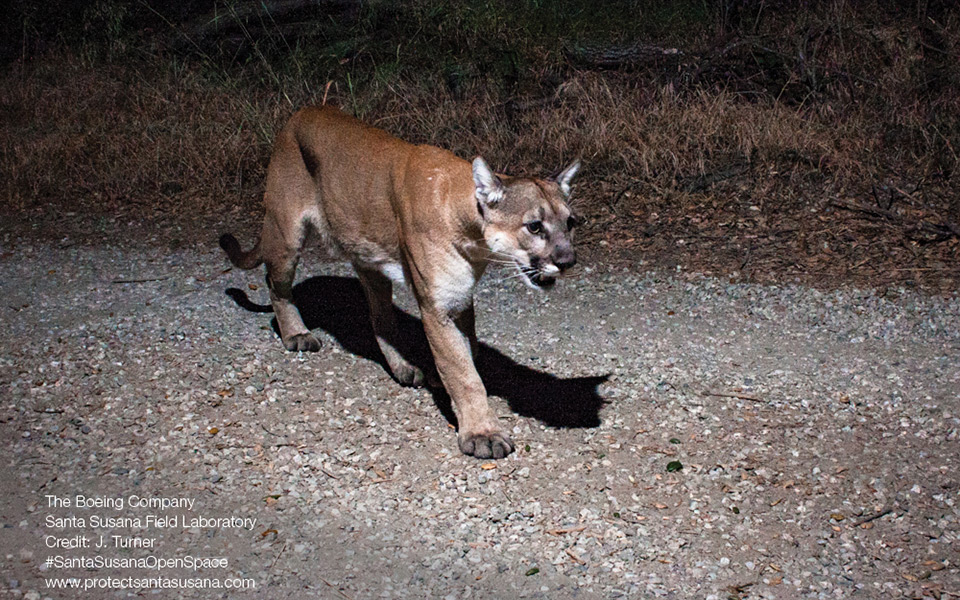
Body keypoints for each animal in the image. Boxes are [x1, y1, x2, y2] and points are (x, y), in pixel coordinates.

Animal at [219, 105, 576, 458]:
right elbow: (463, 372)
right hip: (286, 234)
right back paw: (296, 334)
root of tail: (297, 115)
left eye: (571, 222)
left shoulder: (460, 298)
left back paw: (403, 367)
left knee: (379, 317)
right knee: (274, 282)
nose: (568, 261)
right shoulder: (437, 307)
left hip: (369, 256)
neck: (470, 228)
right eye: (534, 226)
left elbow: (468, 351)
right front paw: (482, 433)